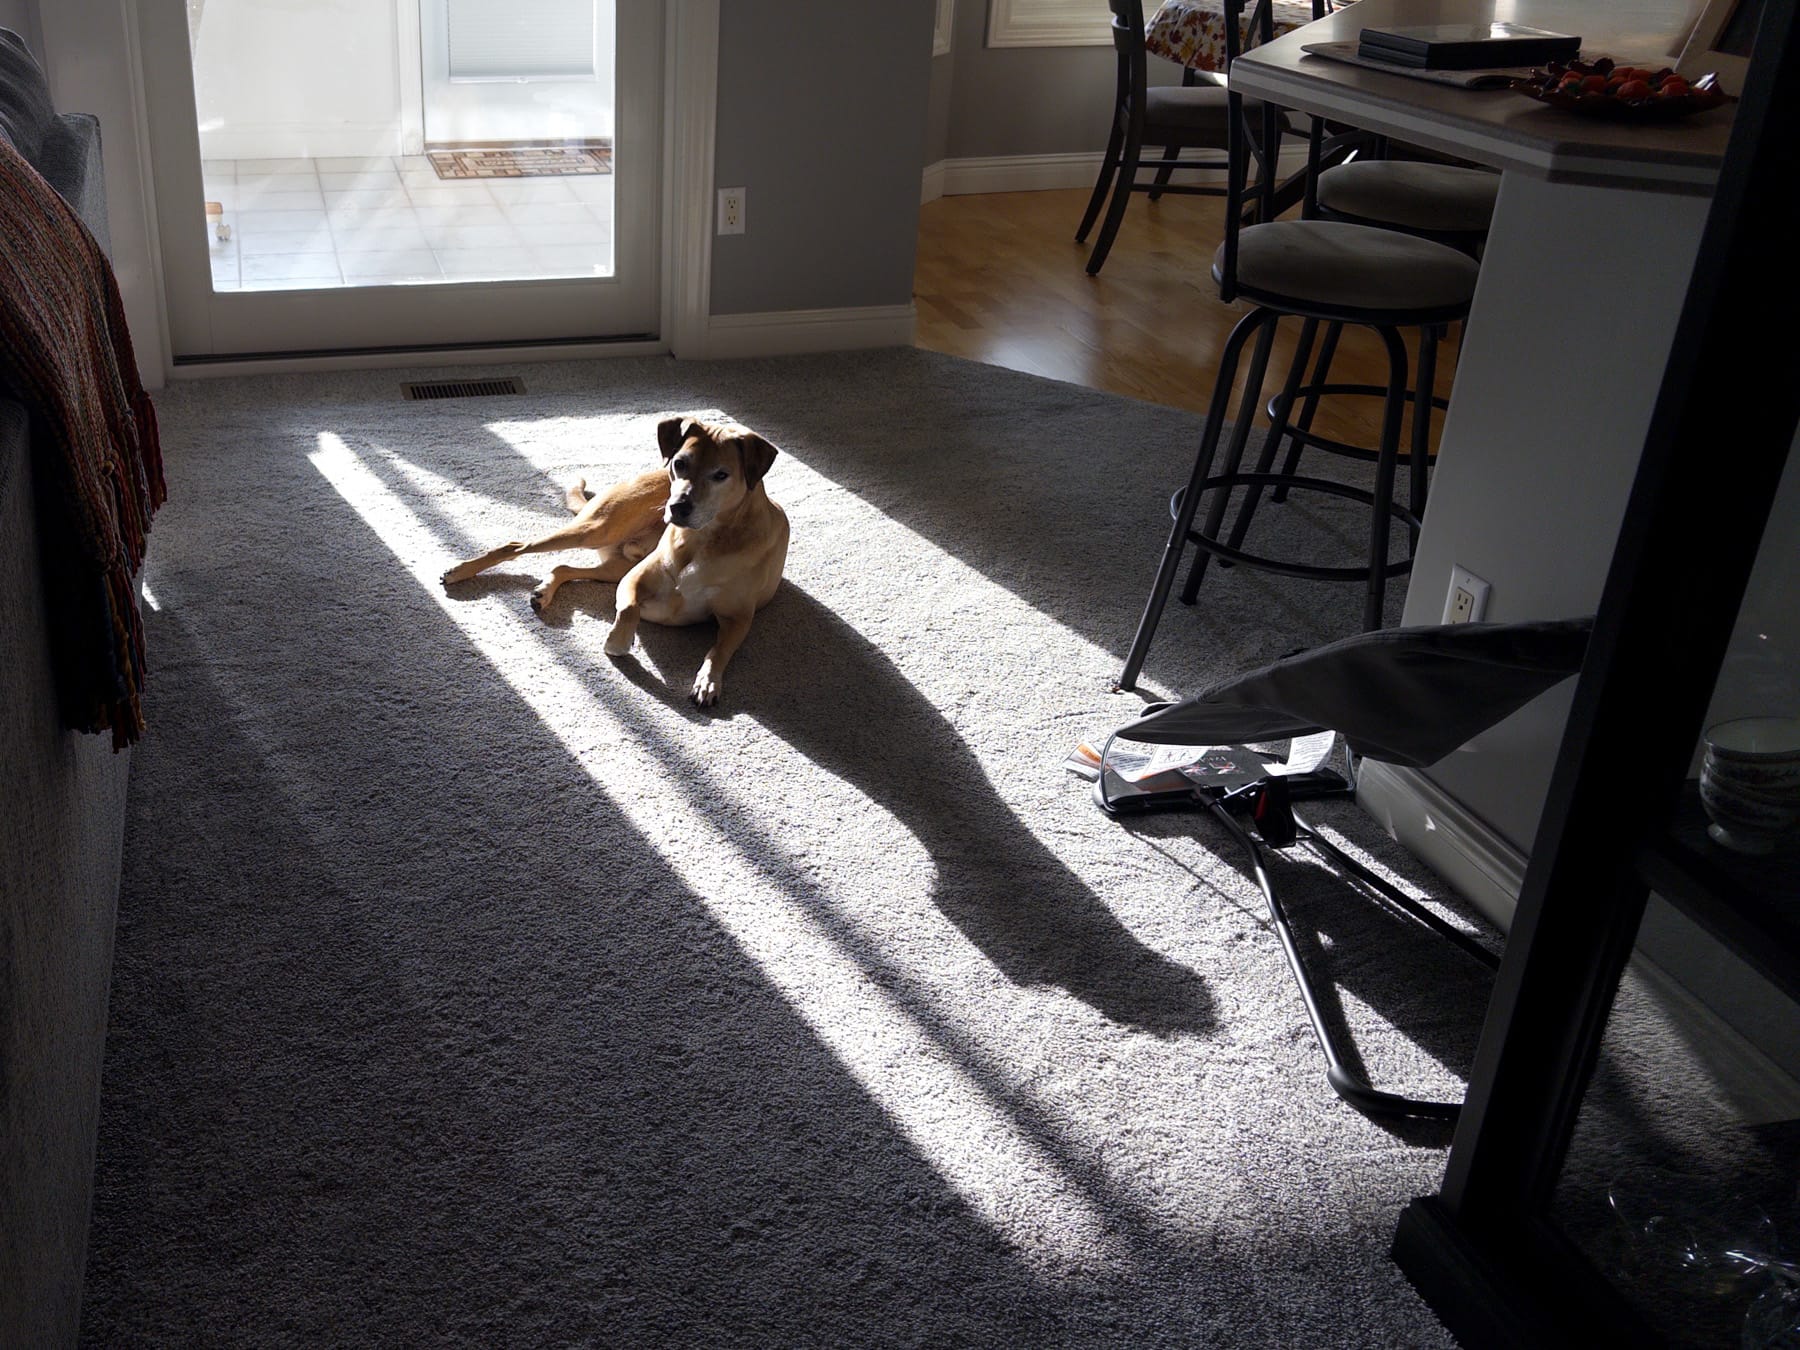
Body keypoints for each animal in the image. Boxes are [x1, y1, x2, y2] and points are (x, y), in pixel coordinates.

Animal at [441, 415, 788, 709]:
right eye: (680, 464)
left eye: (721, 475)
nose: (676, 507)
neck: (703, 539)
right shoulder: (633, 580)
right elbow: (629, 609)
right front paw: (618, 641)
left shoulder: (738, 617)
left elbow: (719, 649)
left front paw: (707, 682)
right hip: (597, 529)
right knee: (517, 545)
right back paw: (459, 571)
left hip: (612, 565)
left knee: (562, 567)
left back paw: (545, 591)